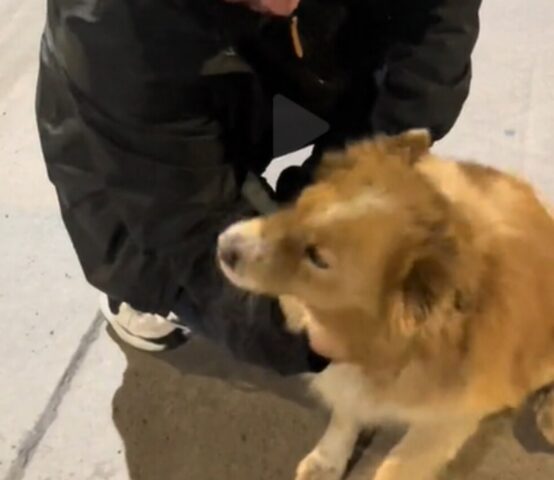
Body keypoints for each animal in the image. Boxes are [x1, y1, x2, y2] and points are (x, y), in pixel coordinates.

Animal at [215, 131, 552, 480]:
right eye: (301, 205)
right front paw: (327, 461)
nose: (223, 245)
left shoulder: (444, 423)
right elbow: (345, 414)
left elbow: (395, 467)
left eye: (318, 257)